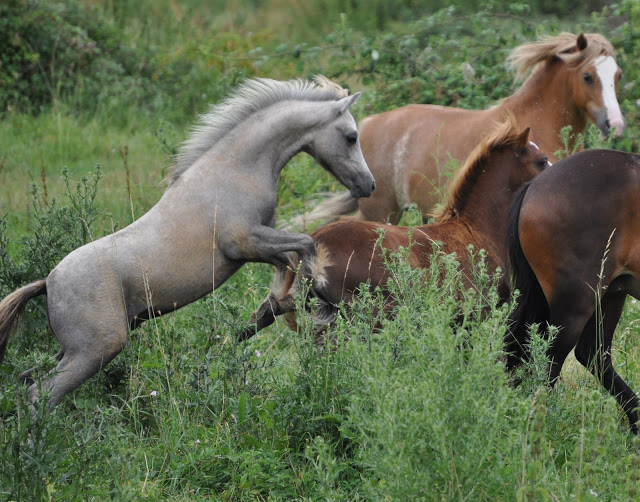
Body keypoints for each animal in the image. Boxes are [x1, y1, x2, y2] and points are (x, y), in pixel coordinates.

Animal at [0, 75, 376, 412]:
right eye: (351, 136)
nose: (368, 185)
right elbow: (305, 246)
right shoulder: (245, 243)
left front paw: (269, 312)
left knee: (27, 382)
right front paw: (315, 299)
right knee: (39, 395)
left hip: (72, 350)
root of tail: (48, 282)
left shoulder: (260, 247)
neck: (235, 170)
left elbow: (289, 264)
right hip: (95, 350)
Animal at [240, 115, 552, 340]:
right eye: (541, 160)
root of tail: (315, 249)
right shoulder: (478, 317)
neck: (475, 230)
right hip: (366, 317)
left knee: (259, 319)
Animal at [296, 32, 624, 226]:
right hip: (380, 212)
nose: (616, 125)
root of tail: (366, 124)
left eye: (617, 75)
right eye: (587, 76)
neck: (538, 121)